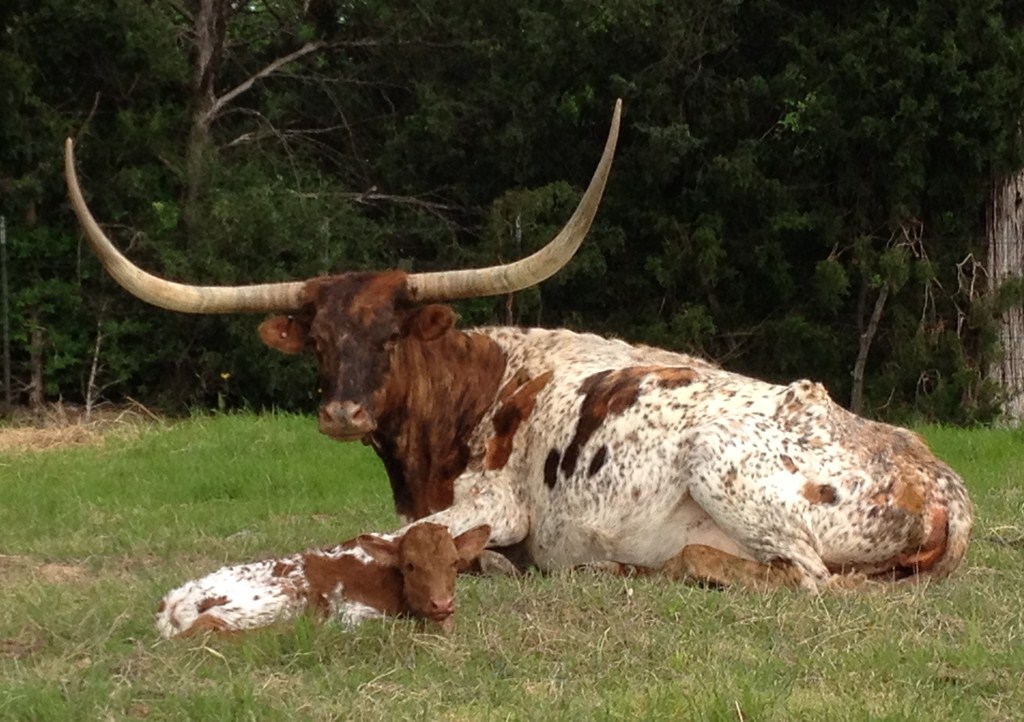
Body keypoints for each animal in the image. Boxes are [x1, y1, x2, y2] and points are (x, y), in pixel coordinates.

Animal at [65, 99, 973, 592]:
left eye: (390, 334)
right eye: (318, 338)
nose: (343, 411)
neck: (476, 392)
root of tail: (941, 486)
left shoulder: (492, 504)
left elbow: (391, 544)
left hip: (724, 472)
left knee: (791, 575)